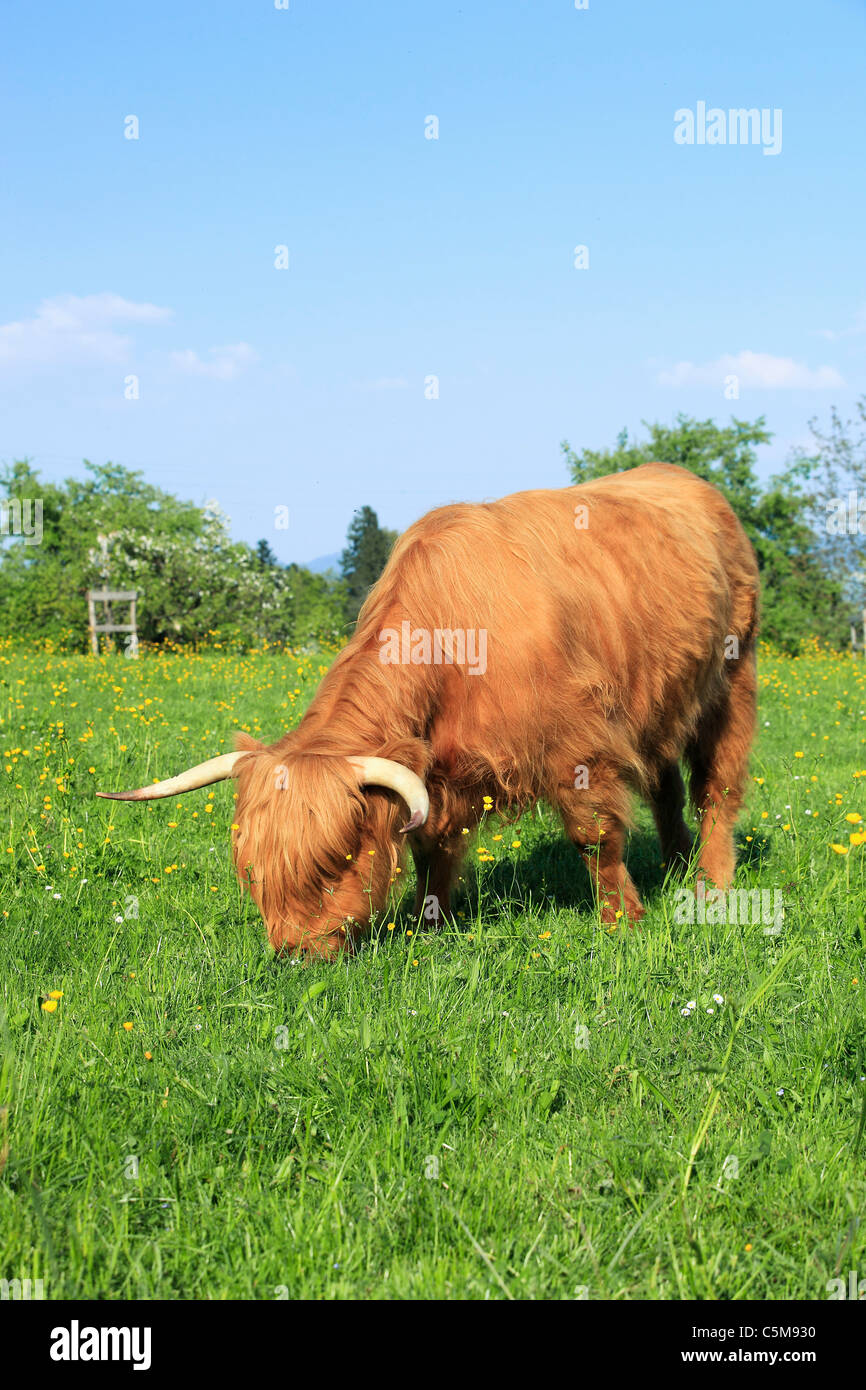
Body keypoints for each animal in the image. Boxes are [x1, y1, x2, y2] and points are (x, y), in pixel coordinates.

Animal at [98, 463, 759, 958]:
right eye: (253, 869)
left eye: (335, 860)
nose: (295, 952)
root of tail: (684, 478)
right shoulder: (439, 769)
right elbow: (431, 846)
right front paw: (428, 923)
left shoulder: (580, 747)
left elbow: (596, 836)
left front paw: (622, 918)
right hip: (662, 700)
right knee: (666, 784)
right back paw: (675, 863)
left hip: (734, 676)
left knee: (717, 786)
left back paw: (710, 883)